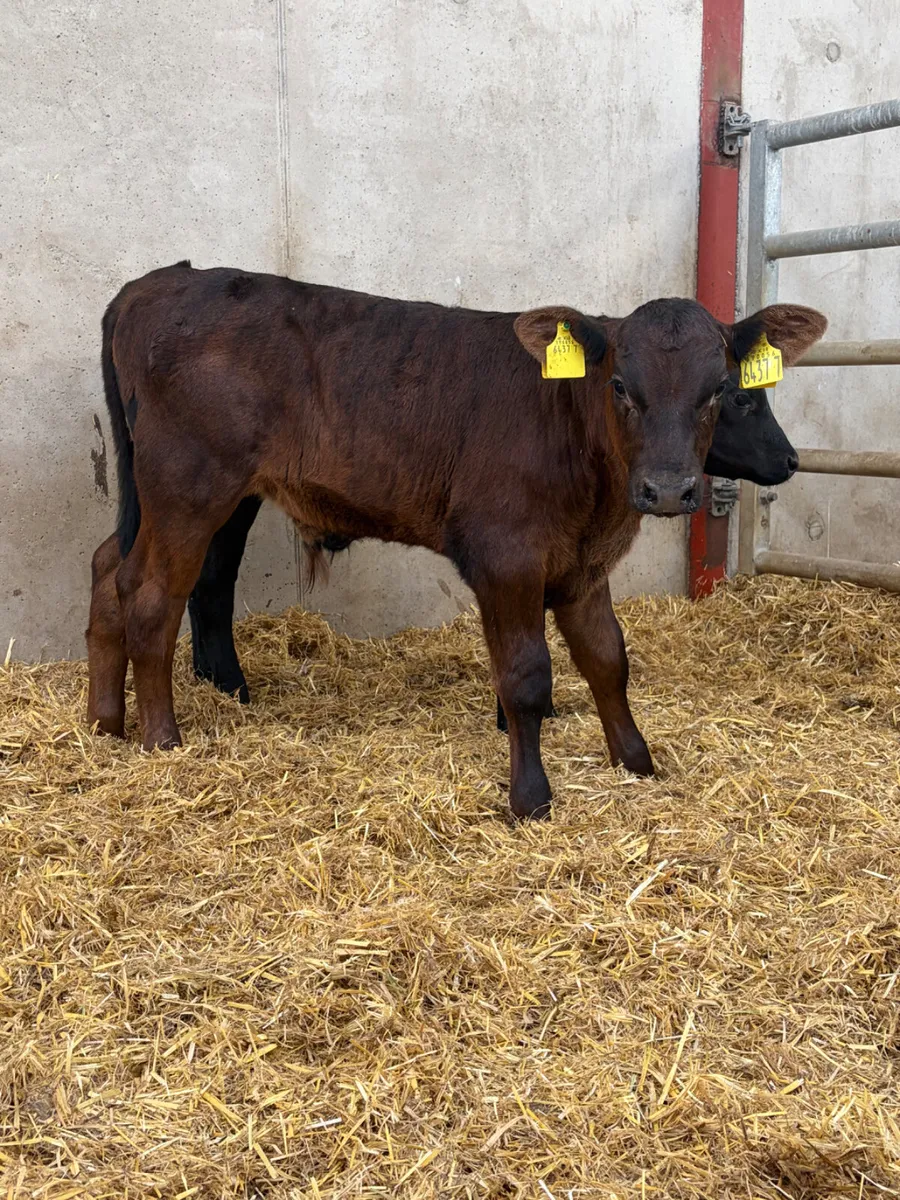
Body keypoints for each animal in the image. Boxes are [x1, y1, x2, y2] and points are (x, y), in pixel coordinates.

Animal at [181, 370, 801, 728]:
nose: (793, 459)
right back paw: (227, 687)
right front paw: (519, 719)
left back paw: (217, 683)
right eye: (741, 398)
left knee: (207, 581)